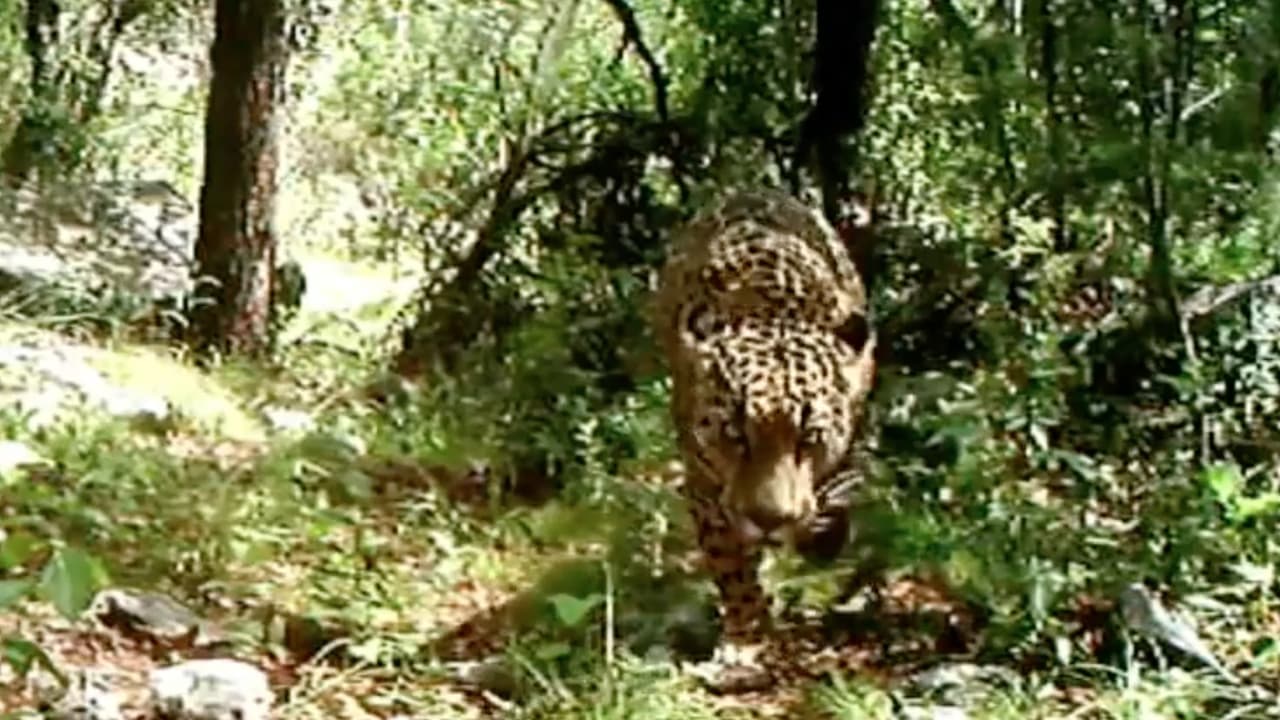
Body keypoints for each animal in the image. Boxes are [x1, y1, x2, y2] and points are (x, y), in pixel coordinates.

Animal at [652, 188, 877, 688]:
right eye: (736, 434)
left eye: (810, 436)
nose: (771, 520)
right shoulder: (704, 485)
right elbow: (732, 568)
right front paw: (744, 641)